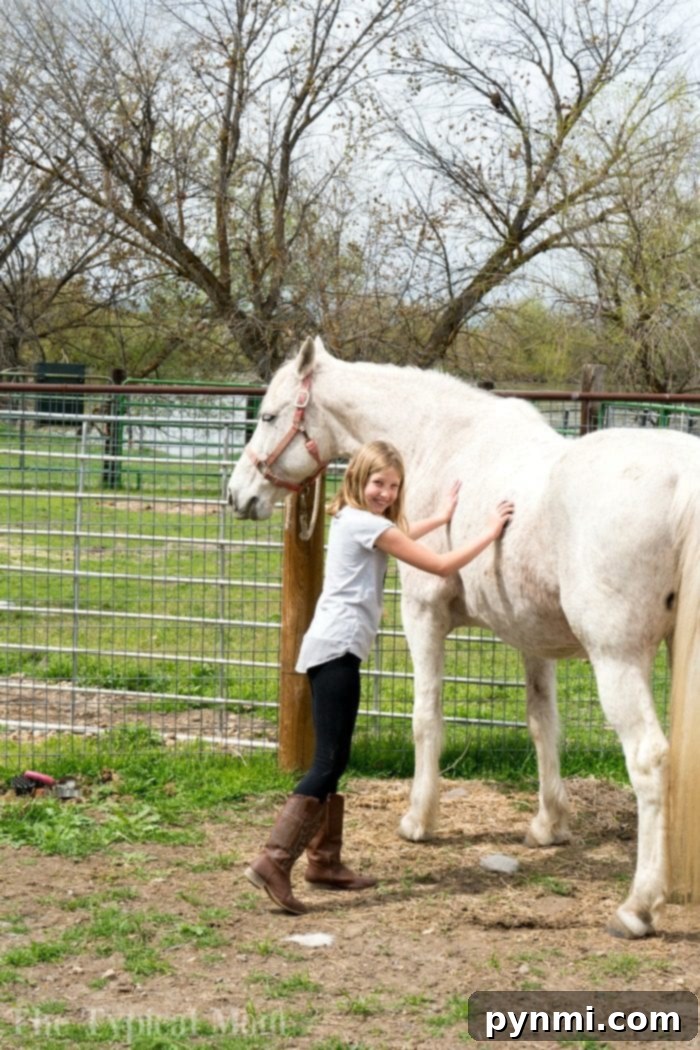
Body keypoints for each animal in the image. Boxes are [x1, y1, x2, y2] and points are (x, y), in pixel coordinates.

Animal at [227, 335, 700, 938]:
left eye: (267, 416)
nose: (238, 495)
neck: (442, 442)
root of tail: (684, 477)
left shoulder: (424, 616)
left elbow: (426, 718)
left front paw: (419, 819)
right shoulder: (532, 639)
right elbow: (542, 723)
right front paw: (549, 825)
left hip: (617, 658)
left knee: (649, 759)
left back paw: (637, 907)